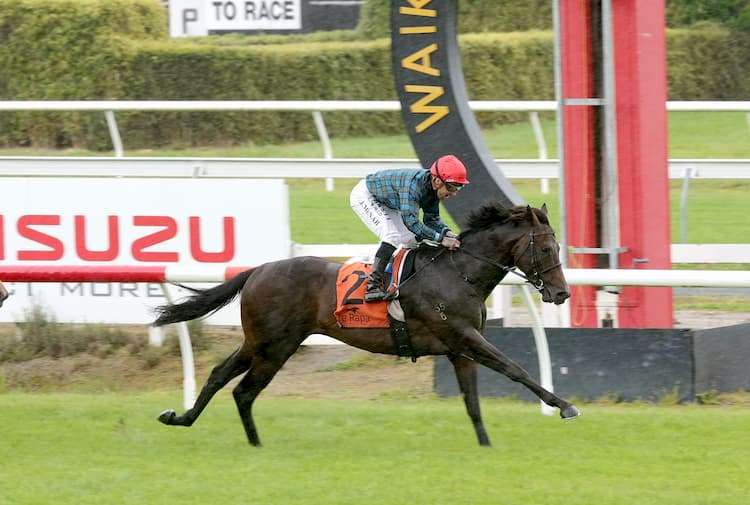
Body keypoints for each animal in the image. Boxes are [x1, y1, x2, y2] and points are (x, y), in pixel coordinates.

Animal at [153, 203, 581, 447]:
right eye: (546, 248)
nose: (561, 293)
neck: (459, 273)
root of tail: (258, 269)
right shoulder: (463, 335)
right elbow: (515, 369)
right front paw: (565, 406)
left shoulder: (459, 348)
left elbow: (472, 401)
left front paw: (485, 445)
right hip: (273, 345)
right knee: (242, 389)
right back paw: (250, 442)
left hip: (262, 342)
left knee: (222, 377)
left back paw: (186, 420)